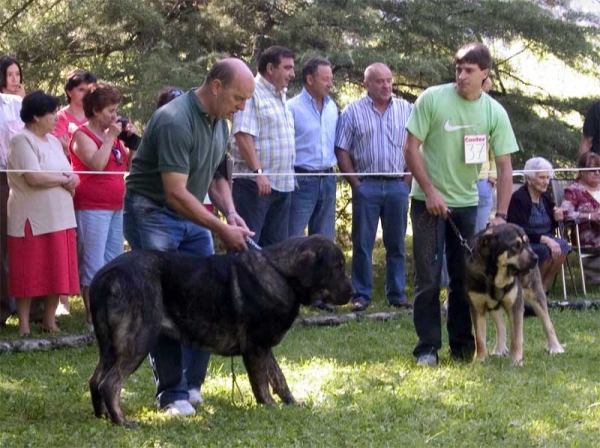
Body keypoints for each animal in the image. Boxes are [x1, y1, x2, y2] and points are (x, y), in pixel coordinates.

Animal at [86, 234, 354, 428]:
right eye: (337, 267)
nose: (352, 293)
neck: (282, 274)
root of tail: (105, 275)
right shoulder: (256, 348)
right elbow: (262, 384)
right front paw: (270, 407)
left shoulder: (264, 347)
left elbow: (279, 379)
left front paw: (291, 402)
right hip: (138, 338)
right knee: (110, 384)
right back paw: (122, 422)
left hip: (110, 346)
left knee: (95, 380)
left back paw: (102, 416)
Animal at [464, 224, 564, 368]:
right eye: (515, 246)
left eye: (527, 243)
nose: (536, 258)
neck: (494, 276)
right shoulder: (477, 308)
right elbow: (479, 339)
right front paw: (479, 360)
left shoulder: (515, 306)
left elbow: (516, 338)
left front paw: (516, 362)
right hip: (493, 305)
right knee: (501, 326)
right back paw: (499, 349)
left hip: (535, 294)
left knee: (547, 322)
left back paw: (556, 347)